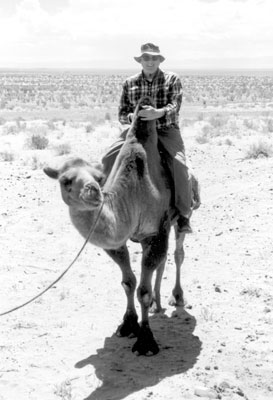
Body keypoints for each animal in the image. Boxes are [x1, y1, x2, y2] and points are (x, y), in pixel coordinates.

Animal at [43, 97, 200, 356]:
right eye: (65, 180)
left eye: (98, 178)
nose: (94, 192)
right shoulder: (118, 243)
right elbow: (129, 283)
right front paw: (128, 325)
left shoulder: (155, 232)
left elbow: (143, 291)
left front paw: (146, 341)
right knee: (163, 260)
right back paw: (157, 304)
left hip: (181, 214)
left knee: (178, 253)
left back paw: (176, 297)